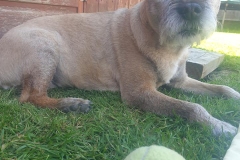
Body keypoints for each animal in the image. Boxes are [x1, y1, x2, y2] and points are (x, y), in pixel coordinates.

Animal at [0, 0, 240, 135]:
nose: (191, 9)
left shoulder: (181, 81)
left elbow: (223, 88)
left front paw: (234, 96)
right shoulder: (138, 92)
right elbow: (191, 107)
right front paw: (217, 125)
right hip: (45, 45)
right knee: (30, 97)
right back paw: (71, 104)